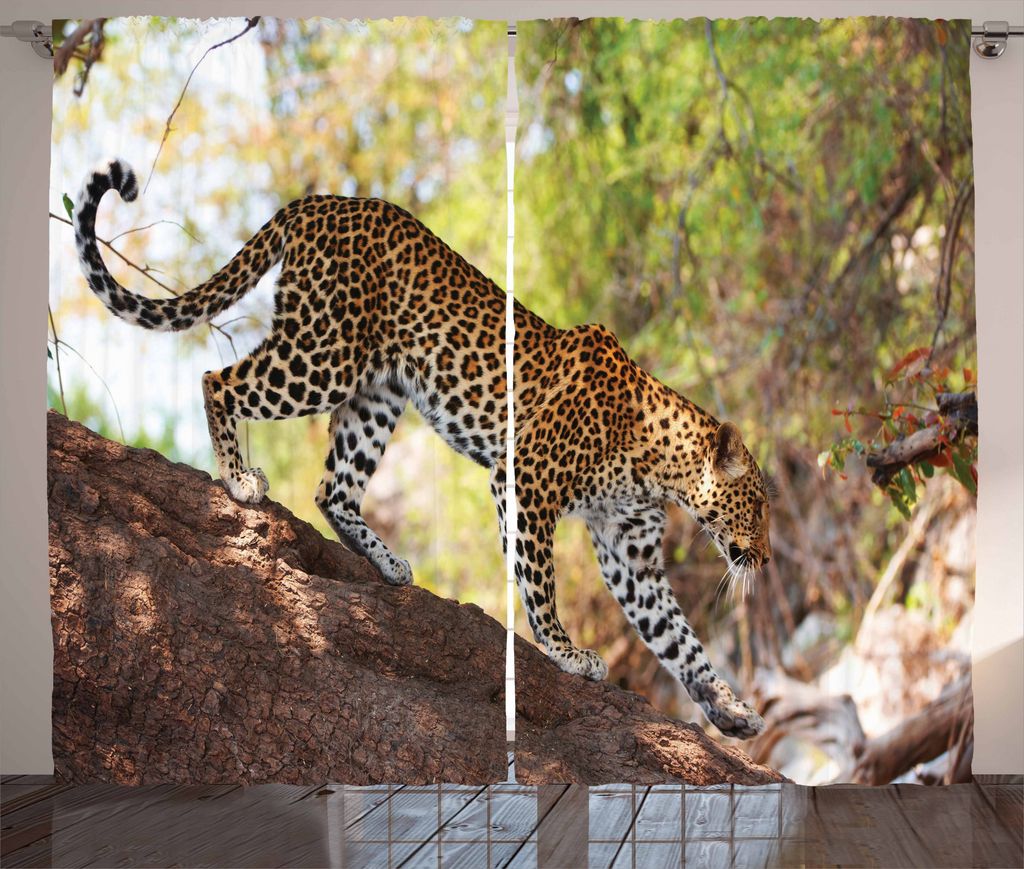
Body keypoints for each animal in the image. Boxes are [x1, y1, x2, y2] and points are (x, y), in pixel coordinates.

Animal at [74, 159, 770, 739]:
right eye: (760, 506)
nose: (762, 559)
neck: (658, 467)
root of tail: (323, 201)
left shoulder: (632, 554)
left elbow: (679, 637)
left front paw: (729, 708)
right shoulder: (526, 482)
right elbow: (541, 582)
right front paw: (566, 651)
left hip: (377, 394)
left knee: (333, 489)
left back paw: (388, 564)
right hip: (322, 355)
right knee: (218, 380)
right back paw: (237, 477)